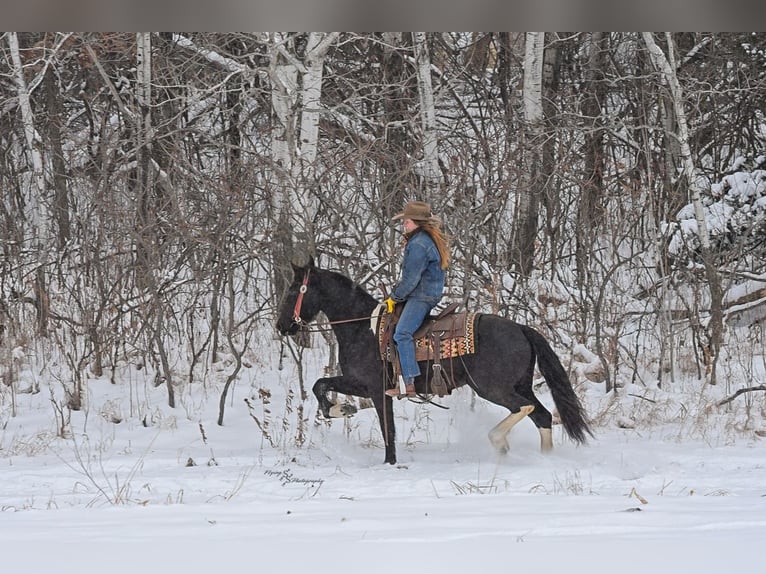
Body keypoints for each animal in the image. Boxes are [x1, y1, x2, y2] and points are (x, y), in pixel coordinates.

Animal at [276, 259, 593, 465]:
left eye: (292, 291)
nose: (282, 326)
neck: (362, 328)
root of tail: (522, 329)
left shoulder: (374, 389)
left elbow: (386, 429)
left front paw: (387, 460)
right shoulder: (363, 386)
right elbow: (321, 384)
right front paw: (341, 408)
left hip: (493, 388)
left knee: (525, 408)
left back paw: (499, 442)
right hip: (520, 384)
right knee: (542, 415)